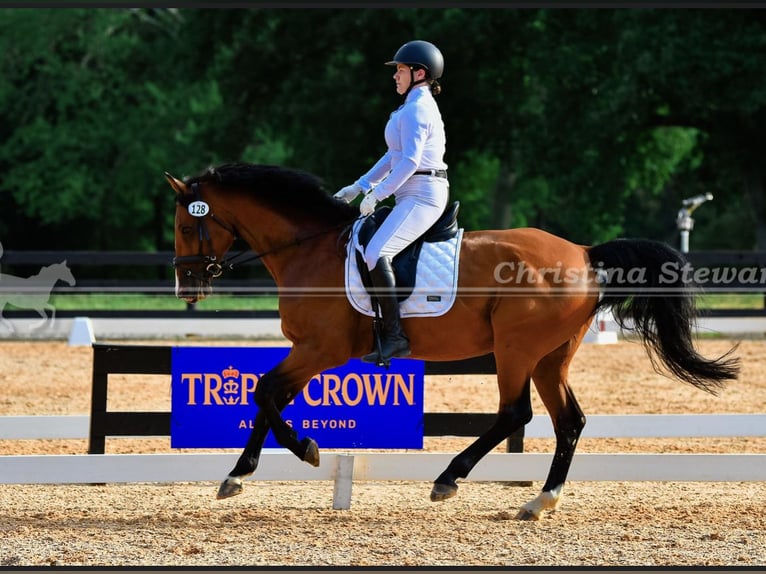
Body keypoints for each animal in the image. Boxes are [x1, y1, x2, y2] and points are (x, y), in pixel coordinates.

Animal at [166, 163, 739, 520]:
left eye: (184, 226)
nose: (185, 287)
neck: (309, 248)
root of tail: (584, 252)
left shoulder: (320, 350)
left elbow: (264, 392)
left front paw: (299, 453)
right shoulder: (310, 352)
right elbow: (269, 396)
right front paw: (242, 472)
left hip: (516, 350)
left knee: (516, 413)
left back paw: (449, 478)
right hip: (550, 357)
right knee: (569, 421)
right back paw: (540, 502)